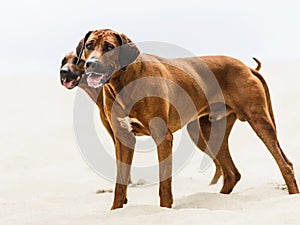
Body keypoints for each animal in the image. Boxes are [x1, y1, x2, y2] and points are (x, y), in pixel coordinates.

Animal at [60, 29, 298, 210]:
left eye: (109, 47)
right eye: (89, 45)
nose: (90, 64)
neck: (124, 81)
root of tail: (246, 67)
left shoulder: (163, 137)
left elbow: (164, 185)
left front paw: (165, 210)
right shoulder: (123, 138)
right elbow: (120, 184)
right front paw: (115, 210)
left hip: (258, 121)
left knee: (284, 164)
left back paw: (292, 195)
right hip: (210, 131)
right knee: (232, 173)